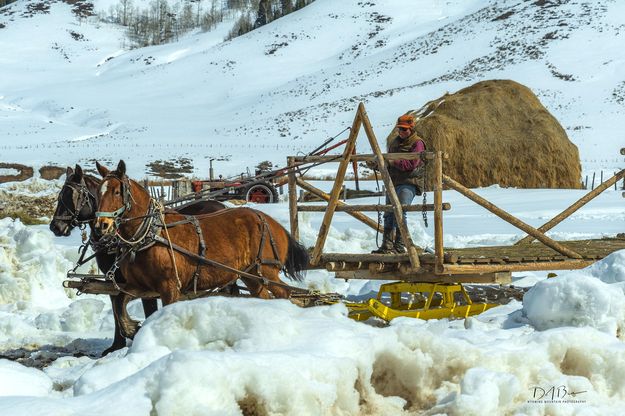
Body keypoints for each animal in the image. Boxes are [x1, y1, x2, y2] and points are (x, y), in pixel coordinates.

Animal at [50, 164, 227, 352]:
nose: (55, 226)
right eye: (61, 194)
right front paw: (117, 345)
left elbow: (142, 311)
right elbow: (117, 310)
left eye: (73, 195)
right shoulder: (113, 282)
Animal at [93, 161, 308, 336]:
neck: (151, 235)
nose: (101, 225)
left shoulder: (170, 286)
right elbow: (119, 303)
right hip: (251, 275)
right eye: (97, 193)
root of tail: (272, 222)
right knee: (263, 296)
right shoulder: (138, 285)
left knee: (284, 294)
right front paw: (130, 328)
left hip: (267, 270)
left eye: (117, 192)